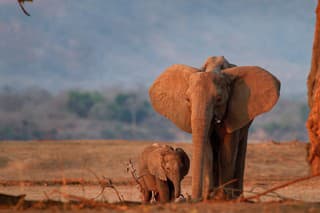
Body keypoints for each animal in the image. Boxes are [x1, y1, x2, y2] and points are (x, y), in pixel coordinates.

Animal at [148, 56, 280, 200]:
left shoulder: (234, 112)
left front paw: (224, 198)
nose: (191, 198)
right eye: (187, 99)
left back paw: (237, 197)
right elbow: (208, 152)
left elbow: (227, 151)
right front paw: (209, 197)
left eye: (219, 99)